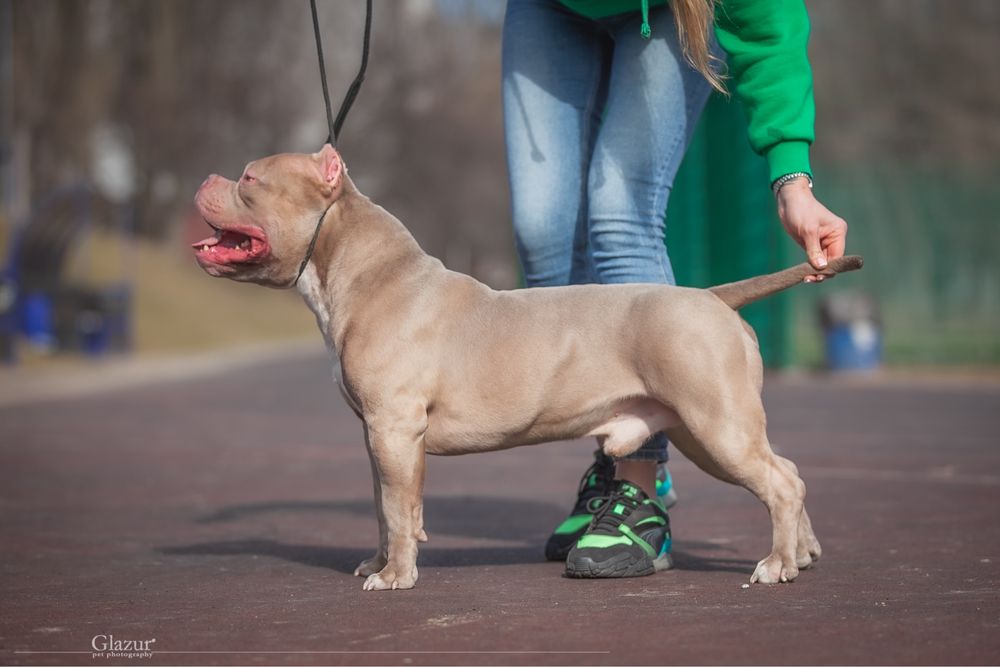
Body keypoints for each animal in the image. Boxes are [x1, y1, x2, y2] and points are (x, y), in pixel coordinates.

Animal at [193, 145, 860, 588]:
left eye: (249, 178)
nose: (204, 177)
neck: (360, 272)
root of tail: (712, 296)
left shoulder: (393, 428)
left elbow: (398, 510)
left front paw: (397, 576)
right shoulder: (377, 435)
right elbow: (387, 507)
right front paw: (381, 561)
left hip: (716, 423)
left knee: (779, 482)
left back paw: (776, 564)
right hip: (701, 429)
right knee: (788, 472)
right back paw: (803, 553)